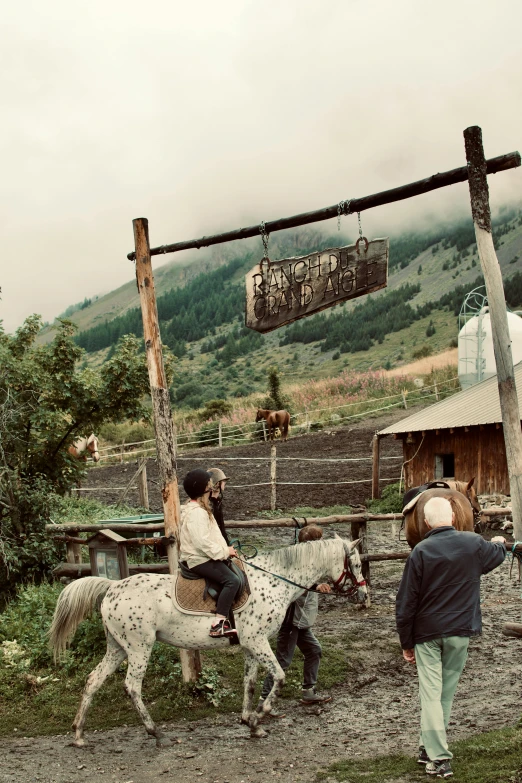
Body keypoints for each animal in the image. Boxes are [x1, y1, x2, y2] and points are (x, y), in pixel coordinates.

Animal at [48, 532, 366, 748]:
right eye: (357, 564)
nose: (363, 594)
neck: (275, 580)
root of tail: (112, 586)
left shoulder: (251, 645)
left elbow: (250, 683)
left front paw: (250, 723)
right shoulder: (258, 641)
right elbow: (279, 676)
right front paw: (261, 715)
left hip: (117, 648)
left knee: (93, 680)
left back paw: (79, 734)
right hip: (139, 648)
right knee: (132, 686)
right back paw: (156, 732)